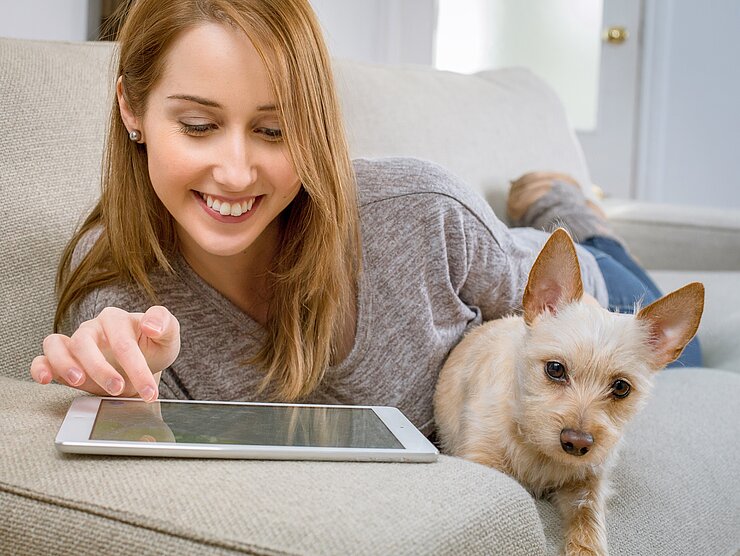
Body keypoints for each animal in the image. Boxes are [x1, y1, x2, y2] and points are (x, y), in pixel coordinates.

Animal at [434, 228, 704, 552]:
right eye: (555, 369)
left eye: (621, 387)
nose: (577, 443)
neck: (537, 449)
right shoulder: (481, 458)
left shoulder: (589, 482)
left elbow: (587, 520)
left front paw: (587, 548)